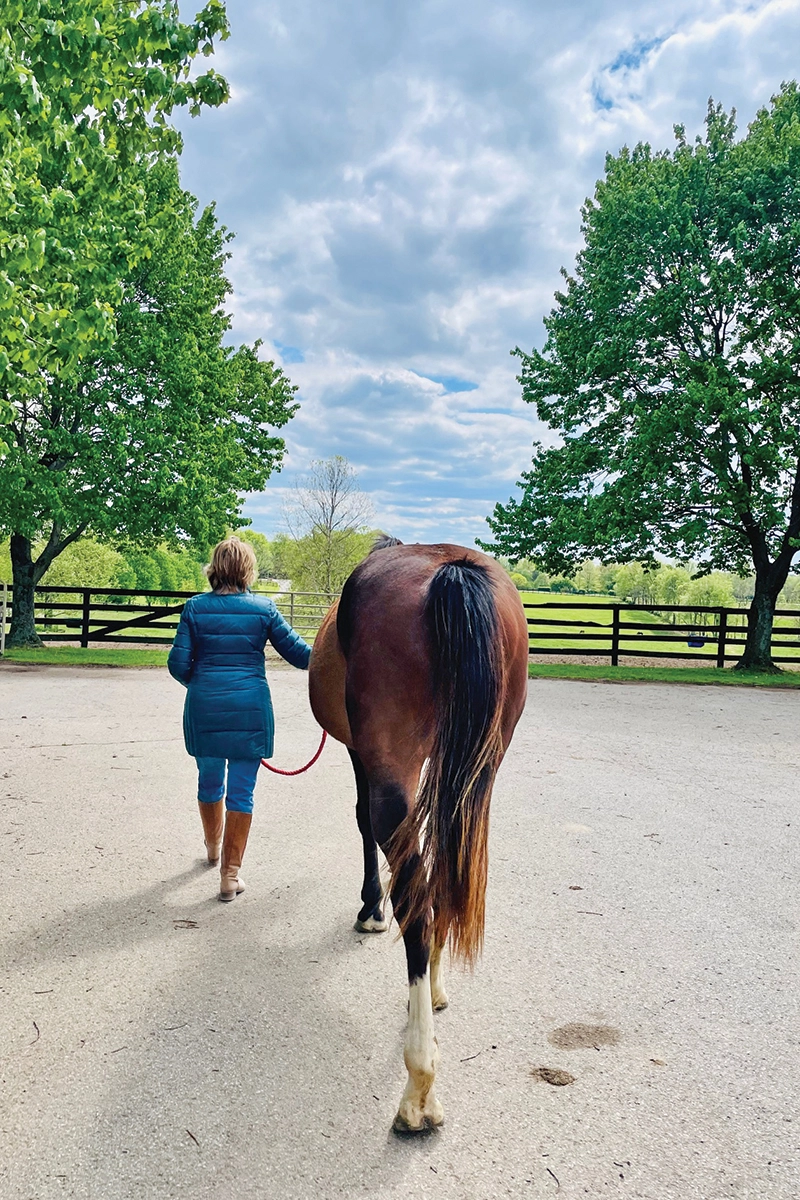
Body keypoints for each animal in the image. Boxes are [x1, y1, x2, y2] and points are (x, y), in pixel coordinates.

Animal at [309, 539, 529, 1133]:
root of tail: (449, 569)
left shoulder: (359, 755)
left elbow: (361, 821)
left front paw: (371, 909)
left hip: (394, 772)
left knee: (417, 902)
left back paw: (419, 1086)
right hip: (480, 771)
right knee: (443, 882)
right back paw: (434, 986)